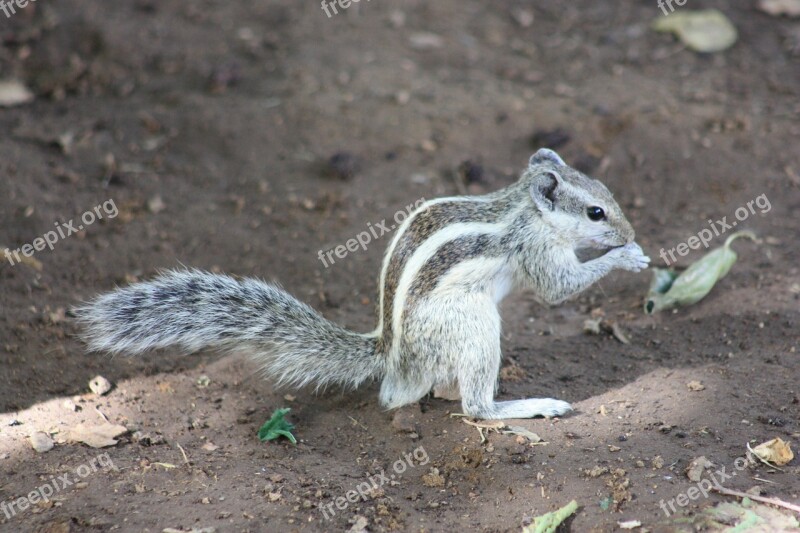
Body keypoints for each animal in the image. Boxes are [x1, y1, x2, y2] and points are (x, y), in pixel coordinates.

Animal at [75, 148, 648, 418]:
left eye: (606, 191)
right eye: (596, 212)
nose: (629, 230)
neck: (523, 205)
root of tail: (392, 351)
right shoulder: (536, 251)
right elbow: (558, 289)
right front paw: (627, 257)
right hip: (471, 323)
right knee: (474, 409)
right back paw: (526, 406)